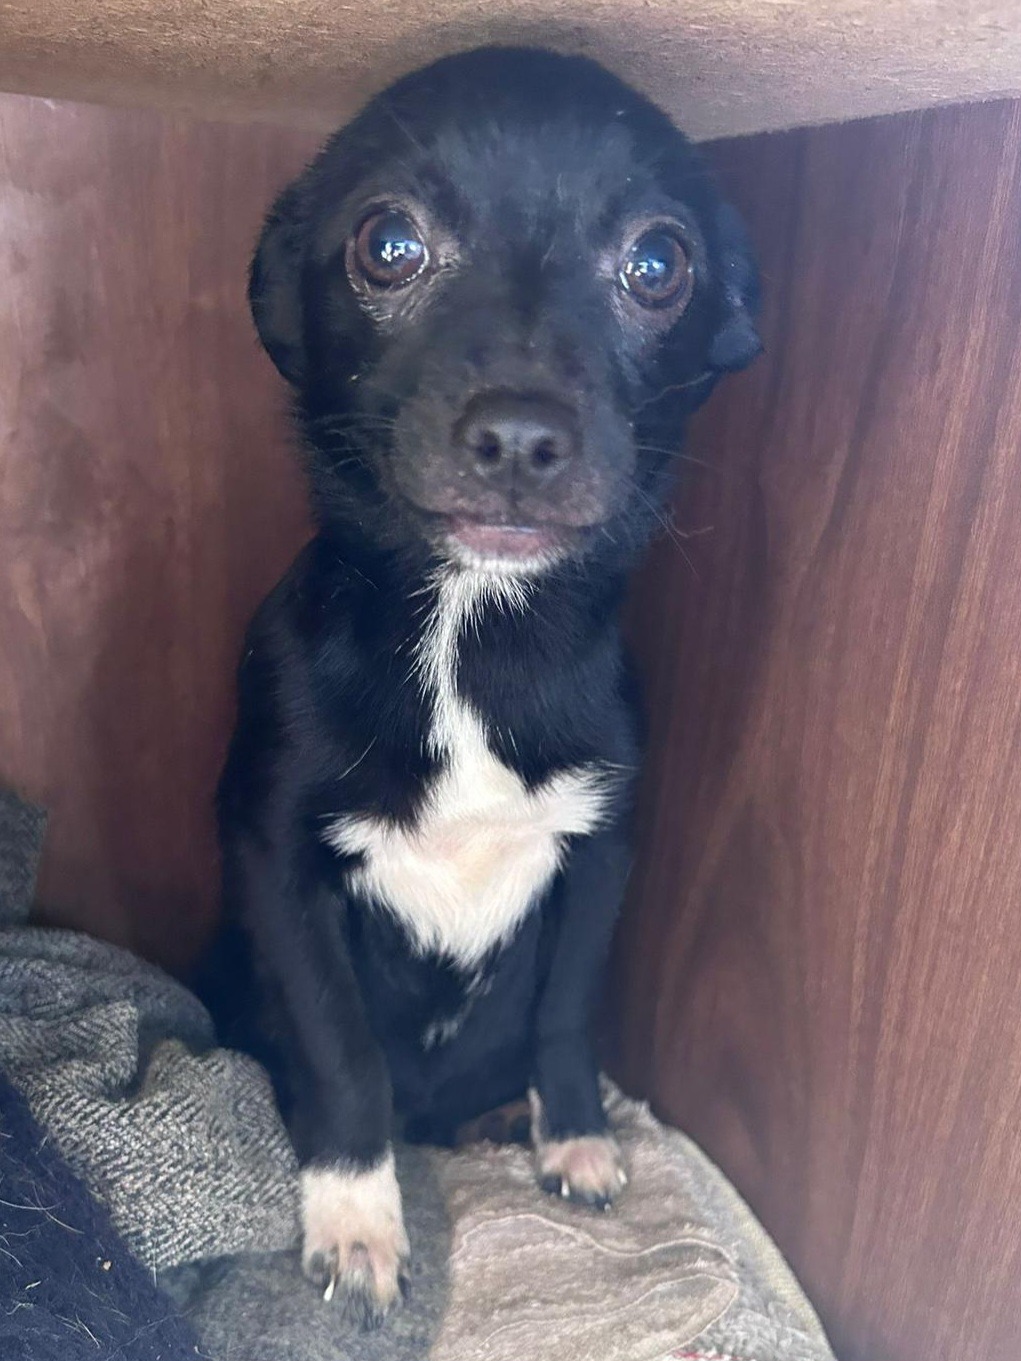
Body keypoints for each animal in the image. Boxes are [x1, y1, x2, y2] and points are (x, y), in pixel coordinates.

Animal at [210, 45, 761, 1327]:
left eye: (658, 263)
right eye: (388, 243)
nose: (519, 434)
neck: (472, 628)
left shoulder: (601, 847)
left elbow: (564, 1006)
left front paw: (573, 1132)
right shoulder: (274, 859)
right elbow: (340, 1049)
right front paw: (356, 1218)